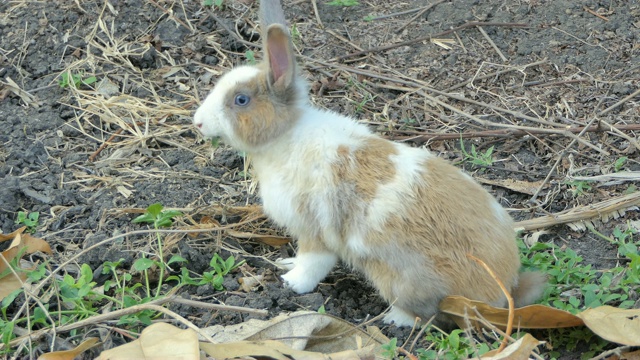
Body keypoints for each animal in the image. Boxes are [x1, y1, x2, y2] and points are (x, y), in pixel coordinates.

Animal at [191, 0, 544, 326]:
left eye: (240, 100)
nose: (197, 122)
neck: (286, 136)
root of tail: (502, 292)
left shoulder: (315, 229)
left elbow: (313, 263)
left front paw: (291, 283)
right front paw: (286, 266)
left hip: (401, 280)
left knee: (421, 314)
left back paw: (392, 320)